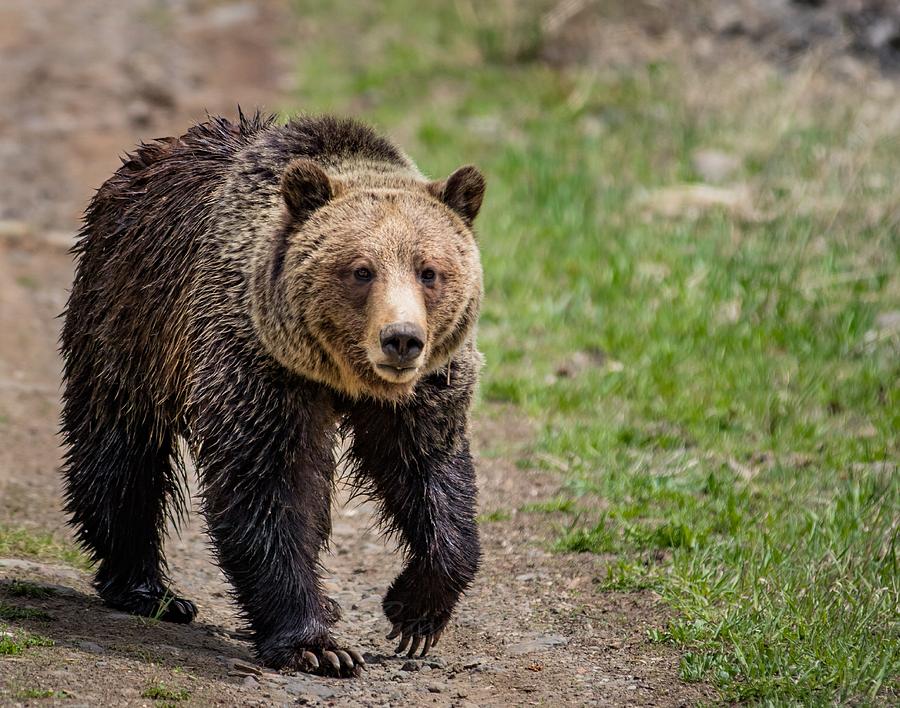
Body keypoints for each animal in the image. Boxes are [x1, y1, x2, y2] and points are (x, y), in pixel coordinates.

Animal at [59, 113, 486, 676]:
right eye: (362, 269)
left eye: (429, 271)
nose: (401, 339)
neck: (340, 373)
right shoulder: (257, 363)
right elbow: (267, 485)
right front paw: (318, 644)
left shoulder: (424, 390)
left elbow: (428, 468)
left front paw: (412, 614)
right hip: (128, 309)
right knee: (120, 447)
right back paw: (149, 589)